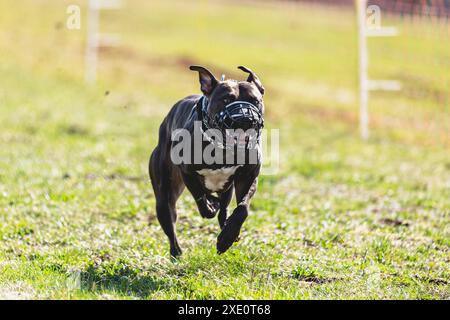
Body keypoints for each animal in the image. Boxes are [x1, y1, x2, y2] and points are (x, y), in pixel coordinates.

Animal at [149, 65, 266, 258]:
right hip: (165, 196)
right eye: (226, 99)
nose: (245, 119)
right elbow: (200, 196)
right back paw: (177, 252)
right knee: (170, 221)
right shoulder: (187, 172)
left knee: (224, 210)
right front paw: (210, 208)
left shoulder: (248, 177)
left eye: (255, 100)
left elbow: (242, 208)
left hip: (226, 189)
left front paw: (227, 238)